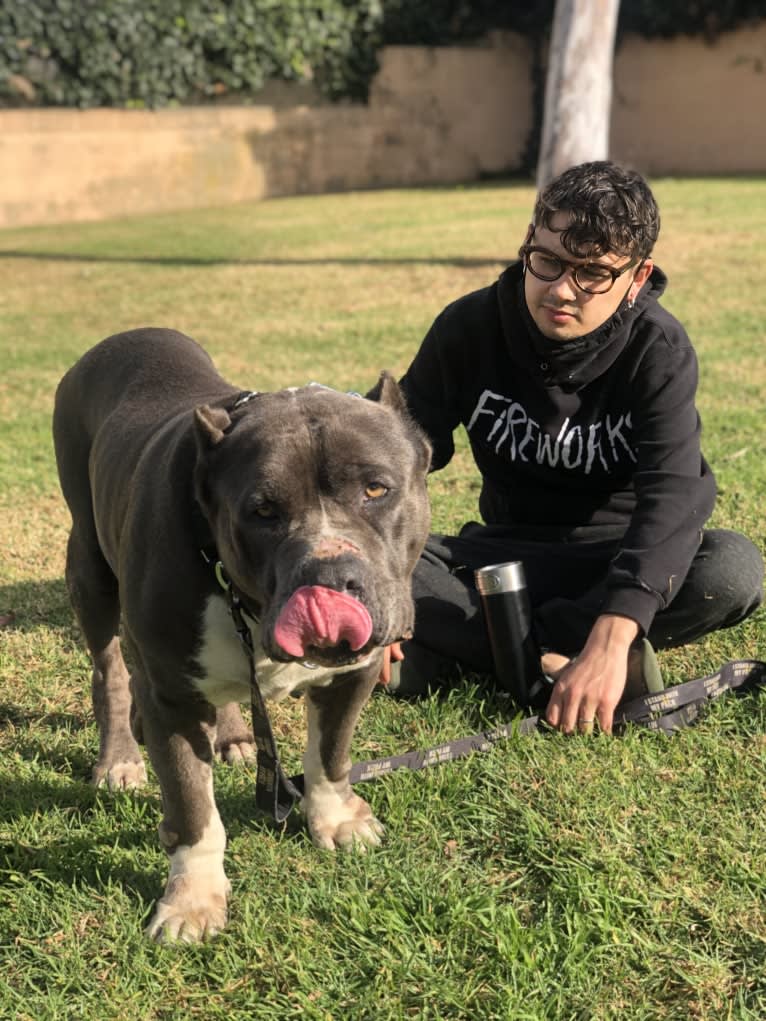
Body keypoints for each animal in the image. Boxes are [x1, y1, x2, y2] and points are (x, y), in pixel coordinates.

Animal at [54, 328, 433, 939]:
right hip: (89, 566)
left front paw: (335, 819)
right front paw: (191, 900)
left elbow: (330, 754)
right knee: (109, 667)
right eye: (262, 511)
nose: (329, 577)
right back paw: (118, 759)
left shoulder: (356, 671)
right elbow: (193, 809)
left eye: (377, 489)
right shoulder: (172, 701)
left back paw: (232, 736)